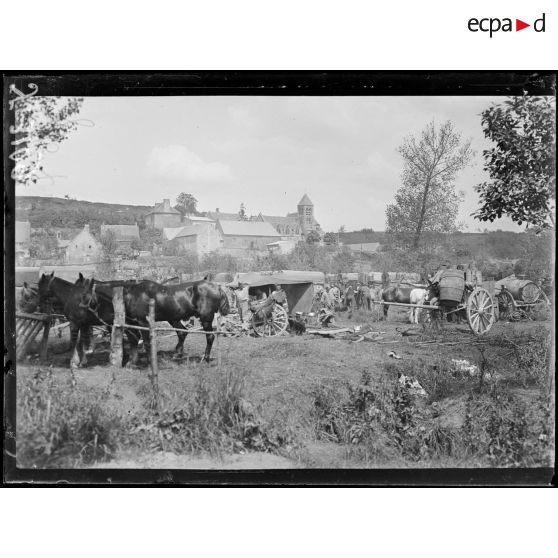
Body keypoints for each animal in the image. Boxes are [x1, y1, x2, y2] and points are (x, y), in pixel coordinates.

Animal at [81, 278, 232, 364]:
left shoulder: (142, 322)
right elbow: (135, 340)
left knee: (210, 337)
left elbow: (146, 341)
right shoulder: (133, 323)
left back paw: (205, 358)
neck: (133, 294)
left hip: (206, 319)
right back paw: (177, 354)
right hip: (174, 319)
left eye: (84, 294)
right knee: (183, 333)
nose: (81, 309)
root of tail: (218, 287)